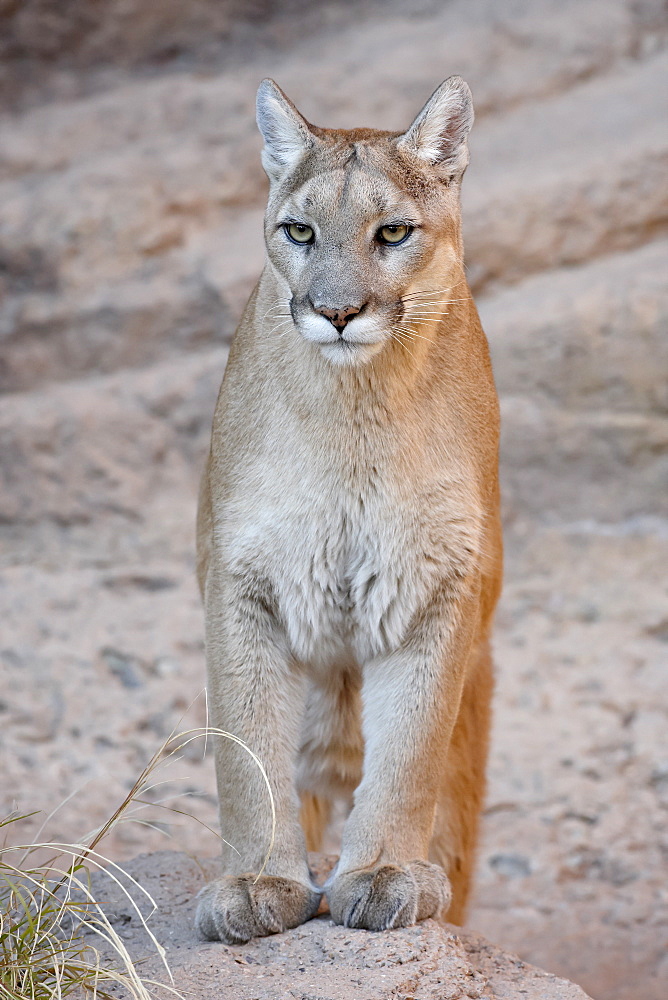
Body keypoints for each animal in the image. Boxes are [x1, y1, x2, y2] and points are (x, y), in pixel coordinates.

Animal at [193, 78, 500, 944]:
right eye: (299, 231)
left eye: (392, 232)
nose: (336, 312)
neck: (354, 413)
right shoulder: (242, 580)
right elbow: (245, 749)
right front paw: (257, 879)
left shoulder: (438, 583)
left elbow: (410, 751)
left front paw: (386, 869)